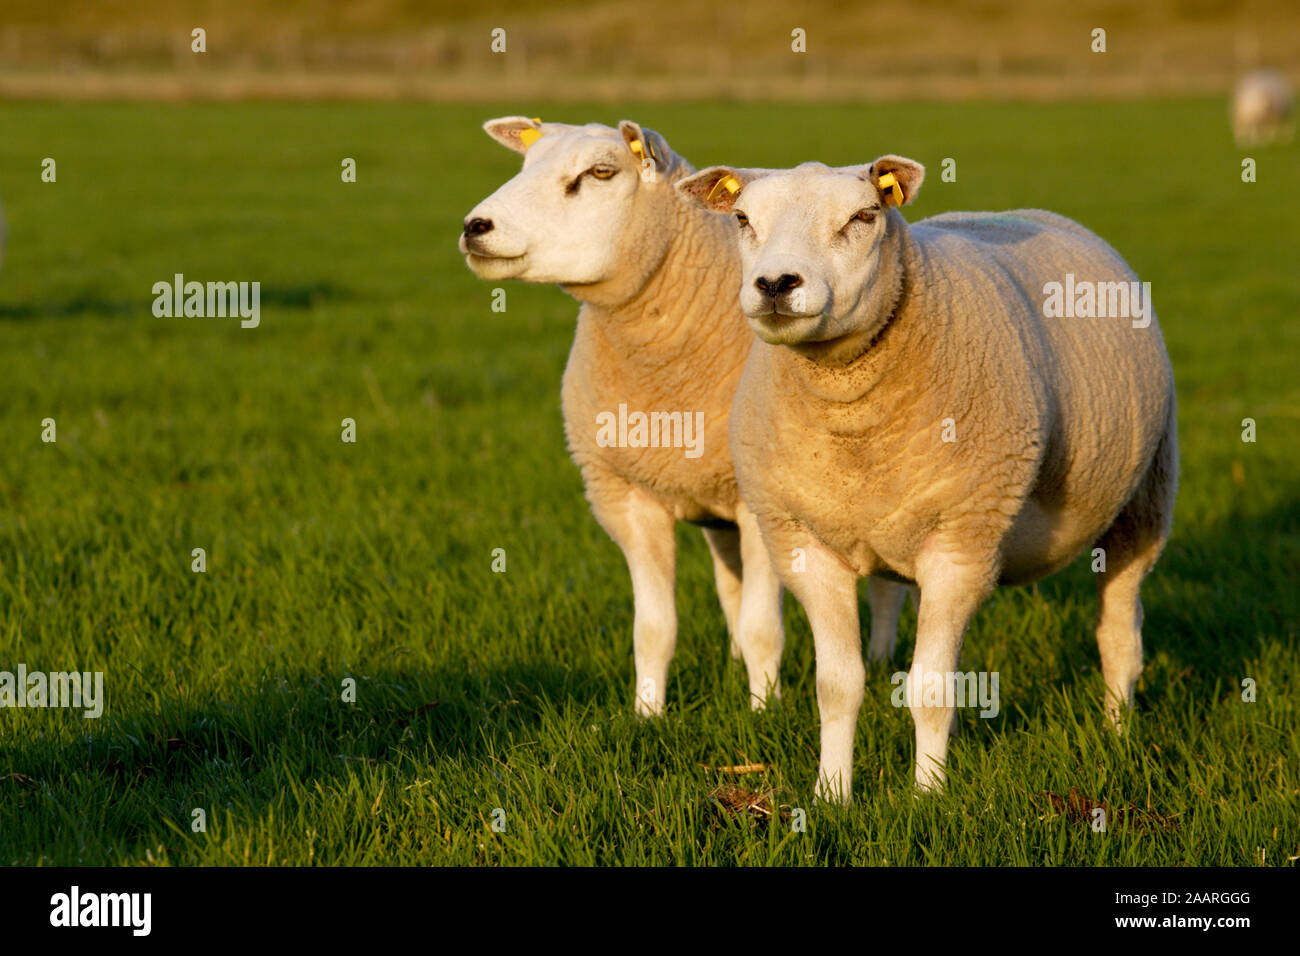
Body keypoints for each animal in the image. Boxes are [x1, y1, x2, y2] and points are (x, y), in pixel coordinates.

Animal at [457, 119, 915, 712]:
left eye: (599, 173)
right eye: (525, 165)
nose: (475, 227)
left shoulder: (759, 504)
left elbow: (764, 627)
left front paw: (764, 711)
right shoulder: (629, 498)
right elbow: (654, 629)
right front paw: (647, 714)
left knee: (885, 586)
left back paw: (879, 657)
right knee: (730, 582)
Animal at [681, 155, 1180, 801]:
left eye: (864, 216)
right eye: (741, 219)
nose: (774, 285)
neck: (852, 424)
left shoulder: (960, 544)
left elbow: (931, 688)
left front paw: (928, 795)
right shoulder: (806, 547)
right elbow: (837, 686)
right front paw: (831, 794)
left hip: (1143, 499)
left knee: (1119, 631)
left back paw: (1116, 734)